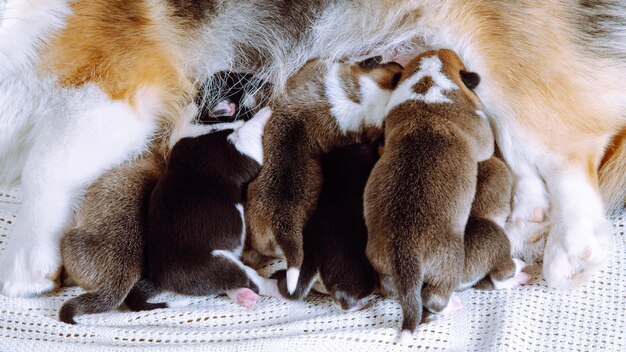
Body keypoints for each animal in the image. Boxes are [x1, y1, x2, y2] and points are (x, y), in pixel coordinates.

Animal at [127, 108, 278, 310]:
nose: (250, 109)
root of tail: (158, 280)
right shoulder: (239, 151)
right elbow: (249, 131)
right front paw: (264, 113)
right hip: (220, 264)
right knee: (252, 280)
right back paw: (277, 286)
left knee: (228, 284)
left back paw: (243, 296)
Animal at [364, 48, 504, 340]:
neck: (427, 85)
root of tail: (405, 253)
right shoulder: (483, 138)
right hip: (448, 262)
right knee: (434, 297)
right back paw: (451, 305)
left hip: (382, 264)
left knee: (392, 290)